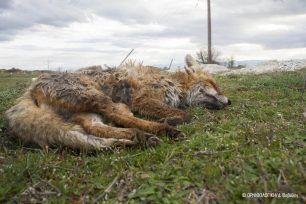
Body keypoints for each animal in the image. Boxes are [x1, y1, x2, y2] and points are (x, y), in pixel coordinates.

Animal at [4, 55, 231, 151]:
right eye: (214, 85)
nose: (229, 101)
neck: (176, 84)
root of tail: (30, 88)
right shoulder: (144, 99)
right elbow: (186, 114)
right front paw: (172, 119)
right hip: (97, 97)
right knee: (117, 117)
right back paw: (162, 130)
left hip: (89, 110)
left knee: (95, 128)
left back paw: (136, 138)